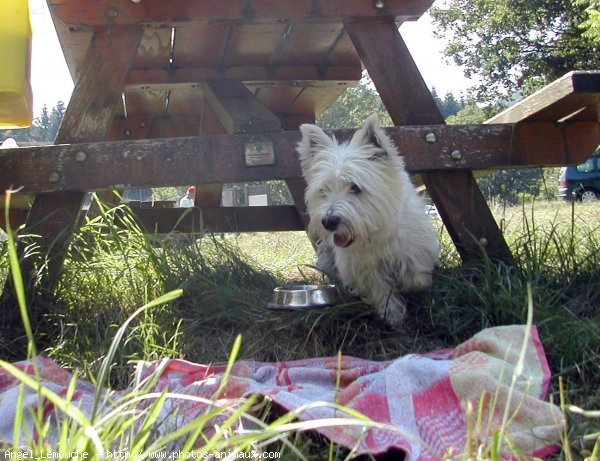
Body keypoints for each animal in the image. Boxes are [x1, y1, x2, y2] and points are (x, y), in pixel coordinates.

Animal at [296, 113, 440, 326]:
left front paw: (411, 286)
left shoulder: (416, 248)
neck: (375, 234)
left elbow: (416, 277)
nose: (328, 222)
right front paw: (392, 314)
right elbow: (380, 289)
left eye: (355, 187)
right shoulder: (363, 268)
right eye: (323, 190)